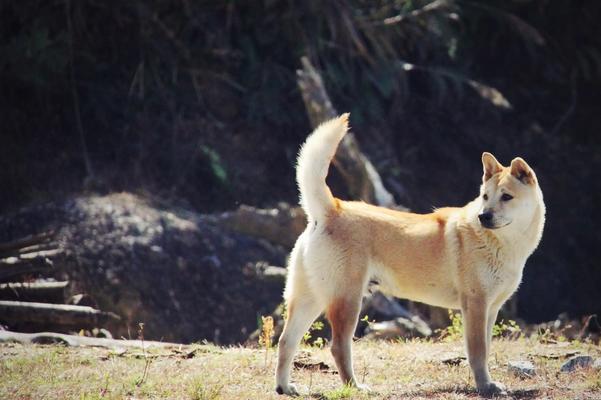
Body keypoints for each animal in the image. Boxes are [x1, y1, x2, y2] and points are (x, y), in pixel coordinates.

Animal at [274, 114, 548, 398]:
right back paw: (355, 386)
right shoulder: (475, 305)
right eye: (485, 196)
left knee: (286, 341)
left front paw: (487, 382)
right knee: (338, 346)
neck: (502, 244)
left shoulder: (491, 309)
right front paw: (485, 386)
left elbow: (486, 348)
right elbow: (478, 352)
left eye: (506, 197)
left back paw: (285, 387)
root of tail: (332, 209)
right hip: (347, 300)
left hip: (310, 299)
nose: (484, 216)